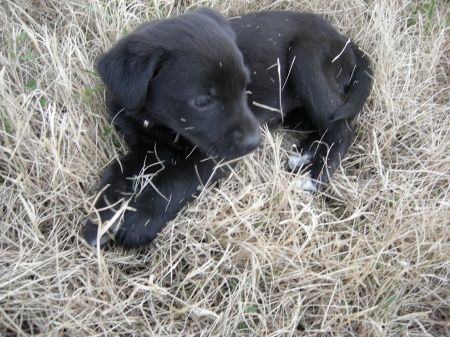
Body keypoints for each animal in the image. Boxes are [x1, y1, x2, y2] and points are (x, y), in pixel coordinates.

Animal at [83, 7, 372, 248]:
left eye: (245, 85)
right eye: (202, 102)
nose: (254, 143)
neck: (156, 122)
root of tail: (345, 41)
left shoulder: (213, 156)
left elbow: (175, 179)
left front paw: (140, 220)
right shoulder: (145, 147)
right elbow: (117, 173)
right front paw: (99, 220)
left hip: (305, 59)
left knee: (341, 130)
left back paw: (313, 174)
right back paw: (306, 151)